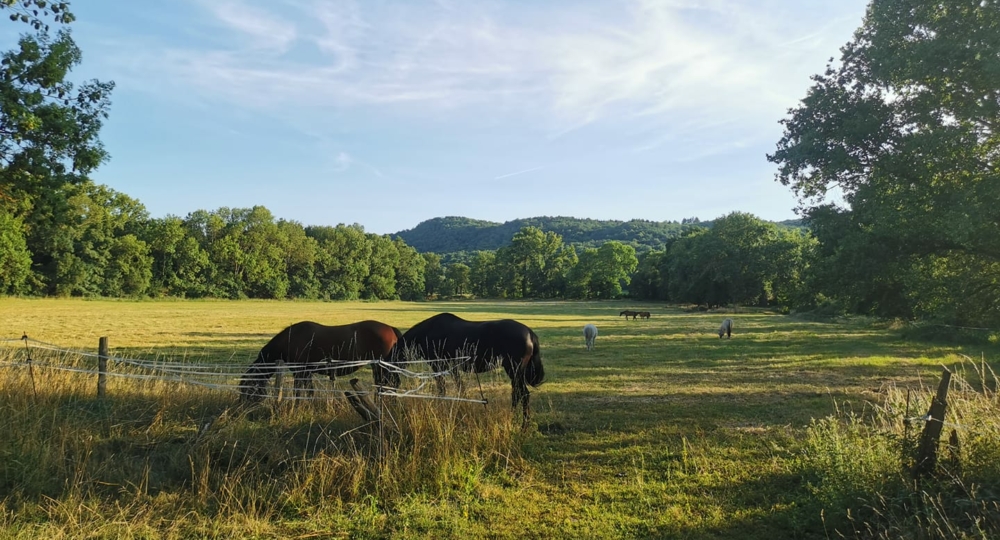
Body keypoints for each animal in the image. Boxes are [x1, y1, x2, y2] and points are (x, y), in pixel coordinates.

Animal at [239, 318, 402, 402]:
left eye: (246, 388)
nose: (240, 409)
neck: (290, 340)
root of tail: (390, 328)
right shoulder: (306, 373)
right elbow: (310, 392)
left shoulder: (300, 372)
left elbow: (298, 392)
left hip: (381, 367)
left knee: (387, 385)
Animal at [388, 314, 548, 424]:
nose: (391, 402)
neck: (426, 333)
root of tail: (530, 333)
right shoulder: (452, 367)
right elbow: (460, 388)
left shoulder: (438, 365)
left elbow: (442, 390)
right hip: (515, 372)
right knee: (518, 393)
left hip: (514, 370)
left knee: (522, 394)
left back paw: (521, 424)